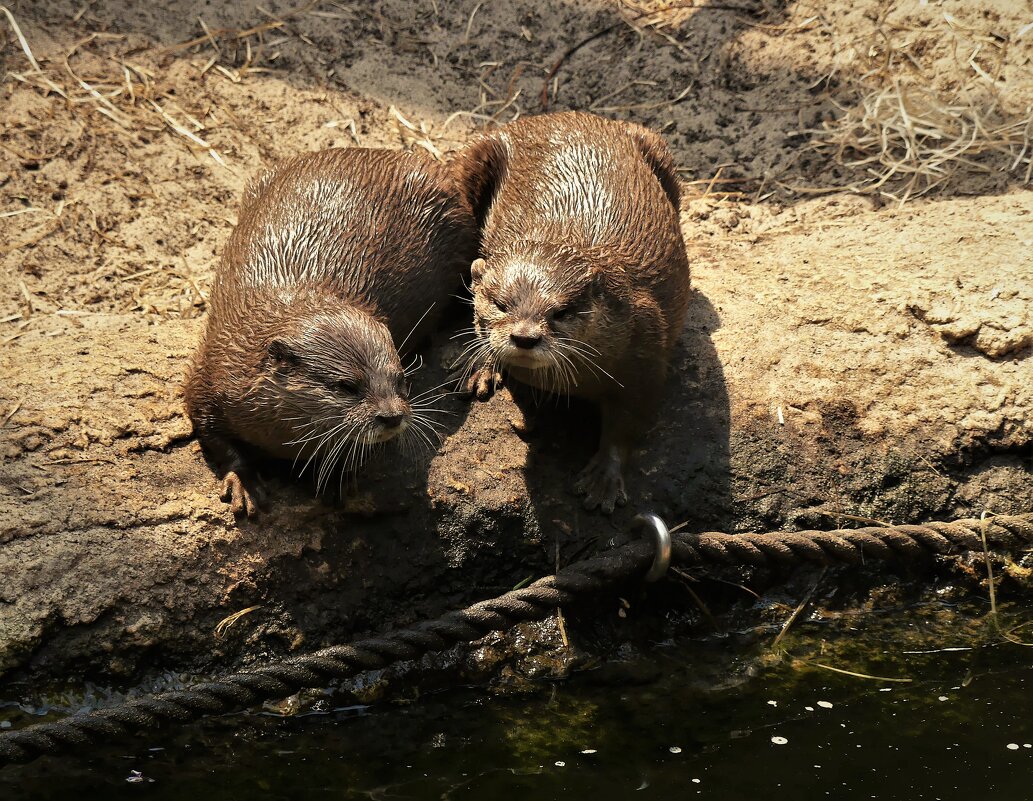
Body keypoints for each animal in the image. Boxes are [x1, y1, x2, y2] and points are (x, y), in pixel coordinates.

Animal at [185, 146, 475, 516]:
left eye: (400, 379)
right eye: (347, 386)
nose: (392, 416)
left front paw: (339, 476)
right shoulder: (209, 374)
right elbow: (213, 434)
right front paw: (243, 482)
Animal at [456, 111, 690, 514]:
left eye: (561, 312)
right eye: (500, 304)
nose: (524, 336)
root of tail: (563, 115)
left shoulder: (646, 349)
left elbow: (630, 420)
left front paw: (604, 480)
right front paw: (486, 370)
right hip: (476, 152)